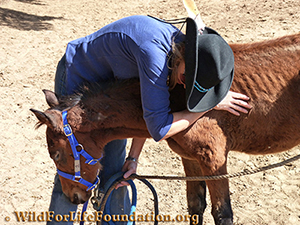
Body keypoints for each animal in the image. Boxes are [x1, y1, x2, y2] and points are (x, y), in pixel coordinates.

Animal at [31, 32, 300, 225]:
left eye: (56, 154)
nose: (73, 197)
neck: (177, 93)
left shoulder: (214, 159)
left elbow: (223, 214)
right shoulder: (191, 158)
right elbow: (195, 206)